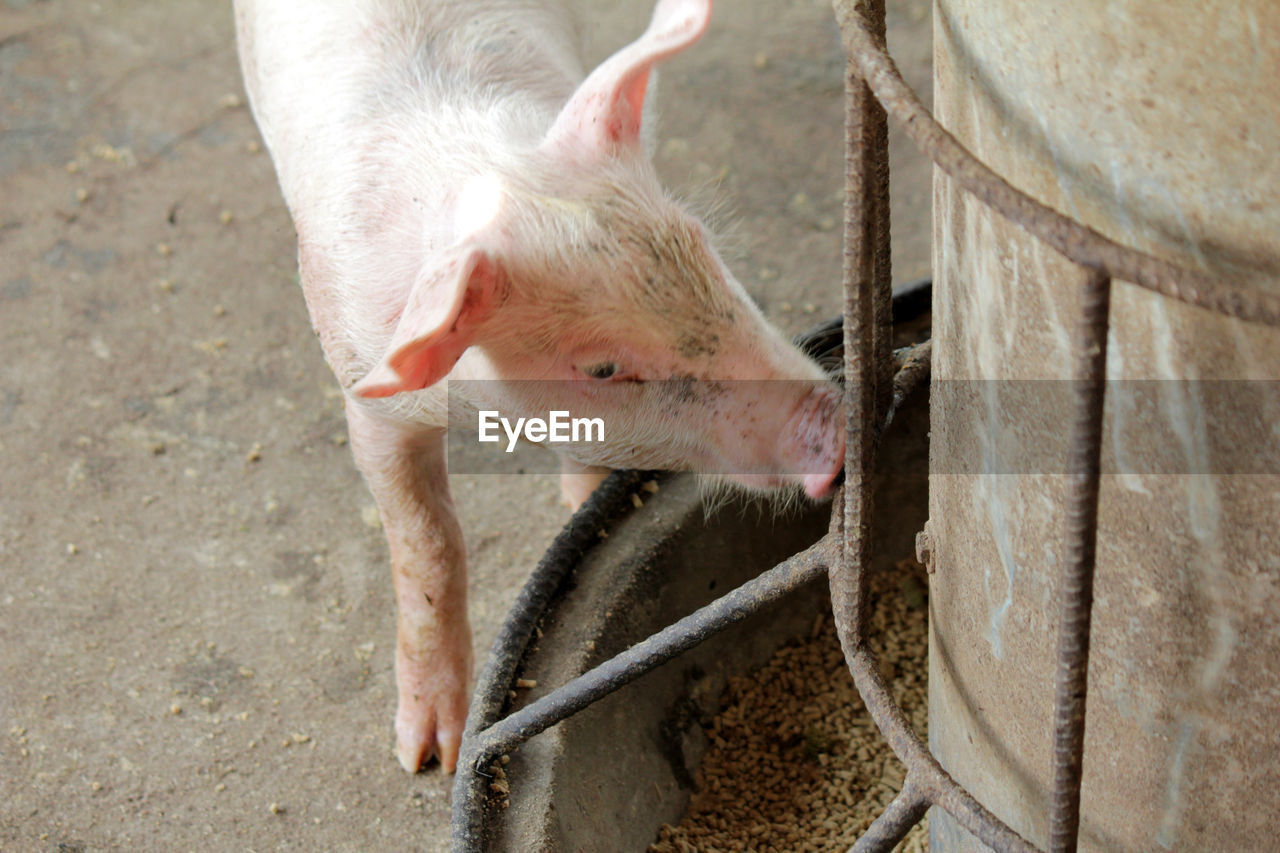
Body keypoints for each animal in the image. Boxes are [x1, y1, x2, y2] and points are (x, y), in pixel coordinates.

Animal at [234, 0, 844, 768]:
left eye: (702, 246)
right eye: (601, 367)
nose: (837, 425)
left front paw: (582, 505)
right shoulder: (367, 394)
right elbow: (428, 542)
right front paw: (427, 757)